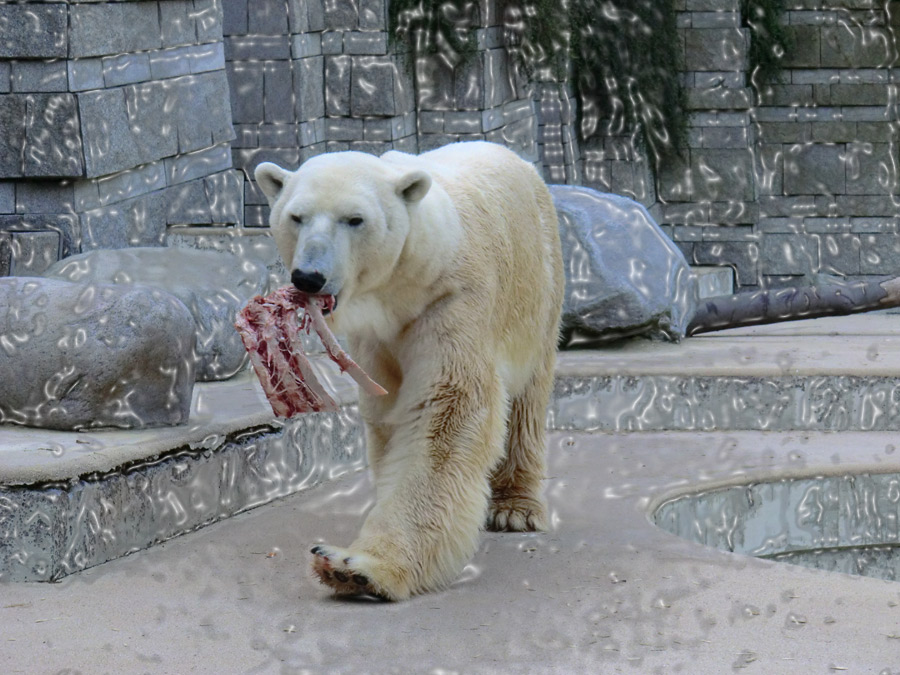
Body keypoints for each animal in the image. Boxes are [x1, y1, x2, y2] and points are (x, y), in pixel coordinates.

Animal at [253, 143, 564, 604]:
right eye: (296, 216)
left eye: (355, 219)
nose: (309, 277)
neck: (402, 289)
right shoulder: (375, 337)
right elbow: (387, 414)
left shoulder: (452, 300)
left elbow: (448, 411)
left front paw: (358, 567)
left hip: (537, 286)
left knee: (528, 396)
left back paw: (515, 509)